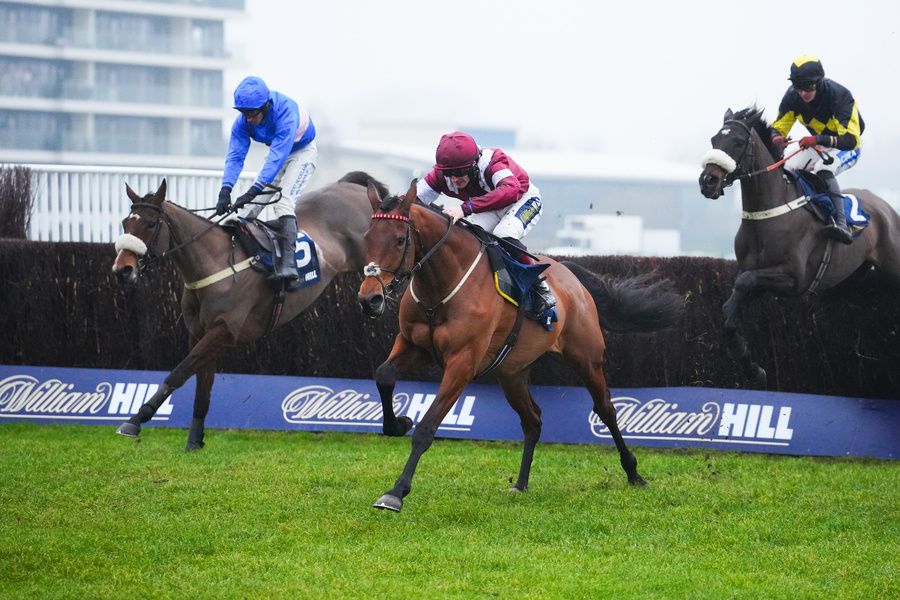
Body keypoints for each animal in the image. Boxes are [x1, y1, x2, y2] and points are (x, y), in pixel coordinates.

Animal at [109, 171, 384, 448]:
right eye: (125, 223)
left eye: (151, 224)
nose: (122, 270)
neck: (215, 262)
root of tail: (353, 186)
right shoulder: (200, 333)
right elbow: (202, 385)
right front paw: (195, 441)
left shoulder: (224, 330)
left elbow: (179, 372)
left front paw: (135, 420)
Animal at [356, 179, 684, 510]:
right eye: (366, 237)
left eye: (400, 240)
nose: (370, 299)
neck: (442, 287)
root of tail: (570, 275)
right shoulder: (413, 344)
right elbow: (384, 375)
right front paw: (398, 422)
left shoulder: (462, 361)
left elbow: (427, 427)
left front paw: (396, 492)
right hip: (512, 372)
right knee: (533, 420)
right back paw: (521, 483)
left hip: (586, 357)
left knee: (606, 409)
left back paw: (634, 473)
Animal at [700, 107, 900, 386]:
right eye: (714, 140)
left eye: (738, 142)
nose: (708, 181)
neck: (769, 212)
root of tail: (885, 207)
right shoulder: (757, 276)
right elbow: (731, 305)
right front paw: (749, 364)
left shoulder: (795, 278)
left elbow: (744, 283)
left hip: (893, 263)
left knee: (827, 170)